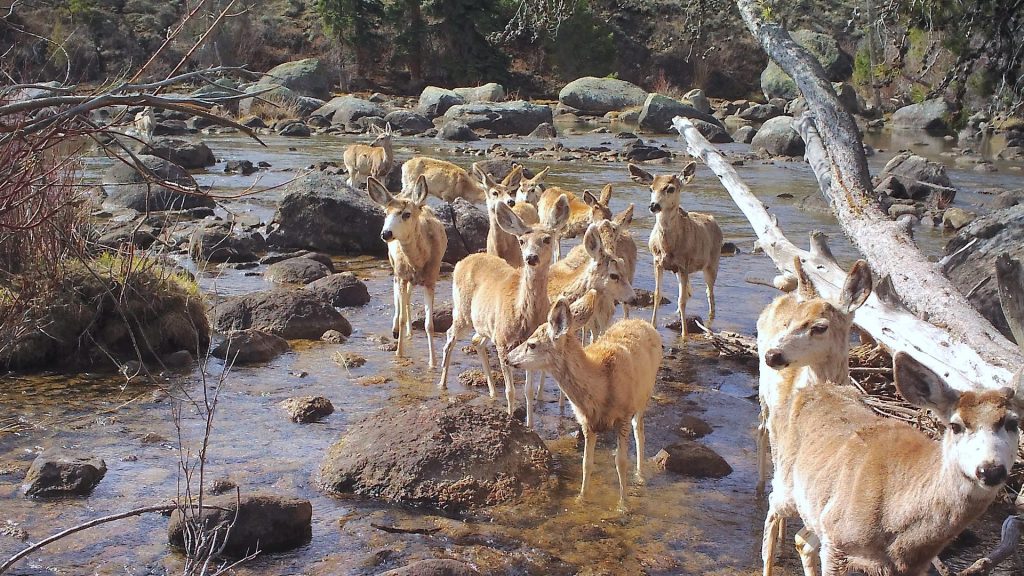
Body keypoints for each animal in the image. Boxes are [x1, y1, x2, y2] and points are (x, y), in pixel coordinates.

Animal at [366, 175, 447, 367]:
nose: (386, 234)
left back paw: (410, 332)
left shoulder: (431, 279)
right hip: (395, 267)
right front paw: (399, 353)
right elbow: (402, 316)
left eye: (406, 214)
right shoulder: (402, 274)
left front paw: (433, 362)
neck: (418, 261)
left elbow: (429, 325)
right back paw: (396, 329)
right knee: (398, 297)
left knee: (408, 298)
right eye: (385, 213)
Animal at [437, 196, 570, 428]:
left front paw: (530, 425)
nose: (531, 258)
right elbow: (510, 390)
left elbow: (527, 391)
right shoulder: (502, 341)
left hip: (484, 324)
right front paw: (510, 418)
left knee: (476, 341)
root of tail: (464, 260)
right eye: (522, 241)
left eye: (547, 239)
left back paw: (491, 391)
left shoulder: (528, 345)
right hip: (462, 311)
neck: (523, 314)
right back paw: (442, 384)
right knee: (450, 336)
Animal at [508, 290, 662, 509]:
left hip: (643, 397)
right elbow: (586, 462)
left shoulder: (623, 415)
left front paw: (623, 504)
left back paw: (640, 475)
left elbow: (621, 462)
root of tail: (643, 322)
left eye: (532, 344)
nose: (507, 357)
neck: (601, 386)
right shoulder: (587, 423)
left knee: (639, 431)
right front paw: (581, 498)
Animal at [629, 162, 723, 338]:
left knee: (709, 293)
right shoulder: (658, 262)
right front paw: (653, 325)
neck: (667, 247)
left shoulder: (684, 265)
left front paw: (685, 335)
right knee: (690, 292)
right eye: (650, 188)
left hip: (712, 263)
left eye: (670, 188)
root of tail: (713, 220)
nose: (654, 205)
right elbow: (658, 294)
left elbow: (682, 299)